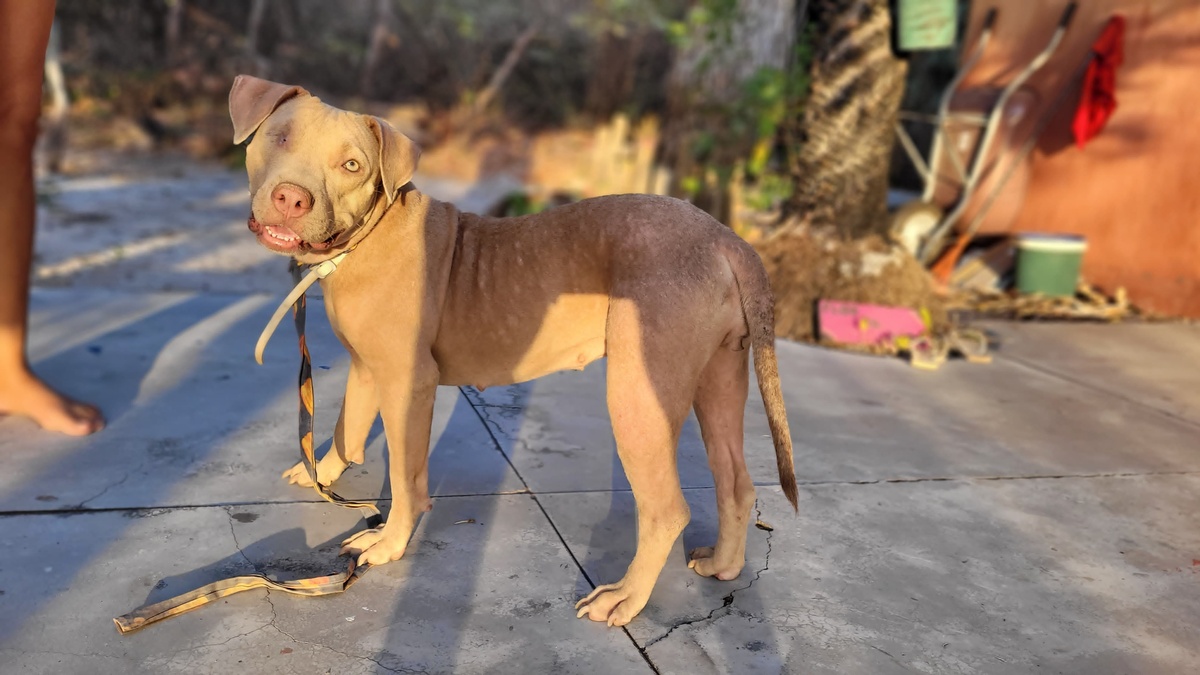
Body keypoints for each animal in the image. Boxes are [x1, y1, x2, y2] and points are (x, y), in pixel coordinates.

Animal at [230, 74, 801, 624]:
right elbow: (347, 424)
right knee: (736, 483)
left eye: (352, 165)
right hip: (718, 380)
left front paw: (388, 543)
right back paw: (724, 565)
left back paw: (625, 598)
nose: (291, 198)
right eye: (280, 138)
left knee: (666, 510)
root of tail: (726, 237)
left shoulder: (408, 383)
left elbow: (406, 476)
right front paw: (321, 472)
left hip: (638, 396)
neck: (362, 239)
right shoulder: (368, 368)